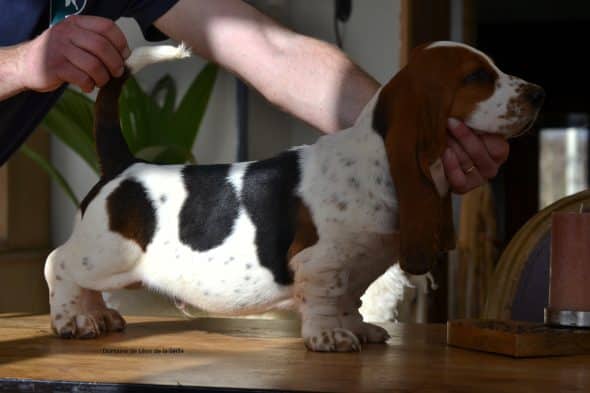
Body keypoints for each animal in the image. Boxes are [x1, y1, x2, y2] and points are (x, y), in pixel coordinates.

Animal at [45, 41, 544, 350]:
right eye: (477, 76)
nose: (539, 92)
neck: (375, 159)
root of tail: (125, 164)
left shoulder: (356, 268)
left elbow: (349, 301)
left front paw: (357, 329)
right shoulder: (322, 262)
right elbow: (327, 300)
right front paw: (330, 338)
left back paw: (98, 316)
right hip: (105, 254)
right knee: (59, 264)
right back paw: (72, 320)